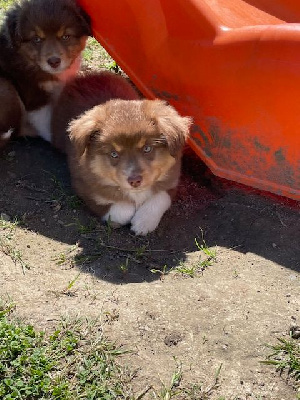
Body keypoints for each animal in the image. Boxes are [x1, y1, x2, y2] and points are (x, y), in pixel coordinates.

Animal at [0, 0, 91, 146]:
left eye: (65, 37)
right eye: (37, 39)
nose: (54, 62)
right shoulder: (34, 95)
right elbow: (46, 121)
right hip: (6, 86)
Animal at [52, 71, 192, 234]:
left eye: (147, 148)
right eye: (114, 154)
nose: (135, 181)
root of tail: (87, 76)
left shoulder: (172, 179)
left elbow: (160, 197)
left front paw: (143, 222)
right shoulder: (83, 185)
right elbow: (119, 208)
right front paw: (129, 213)